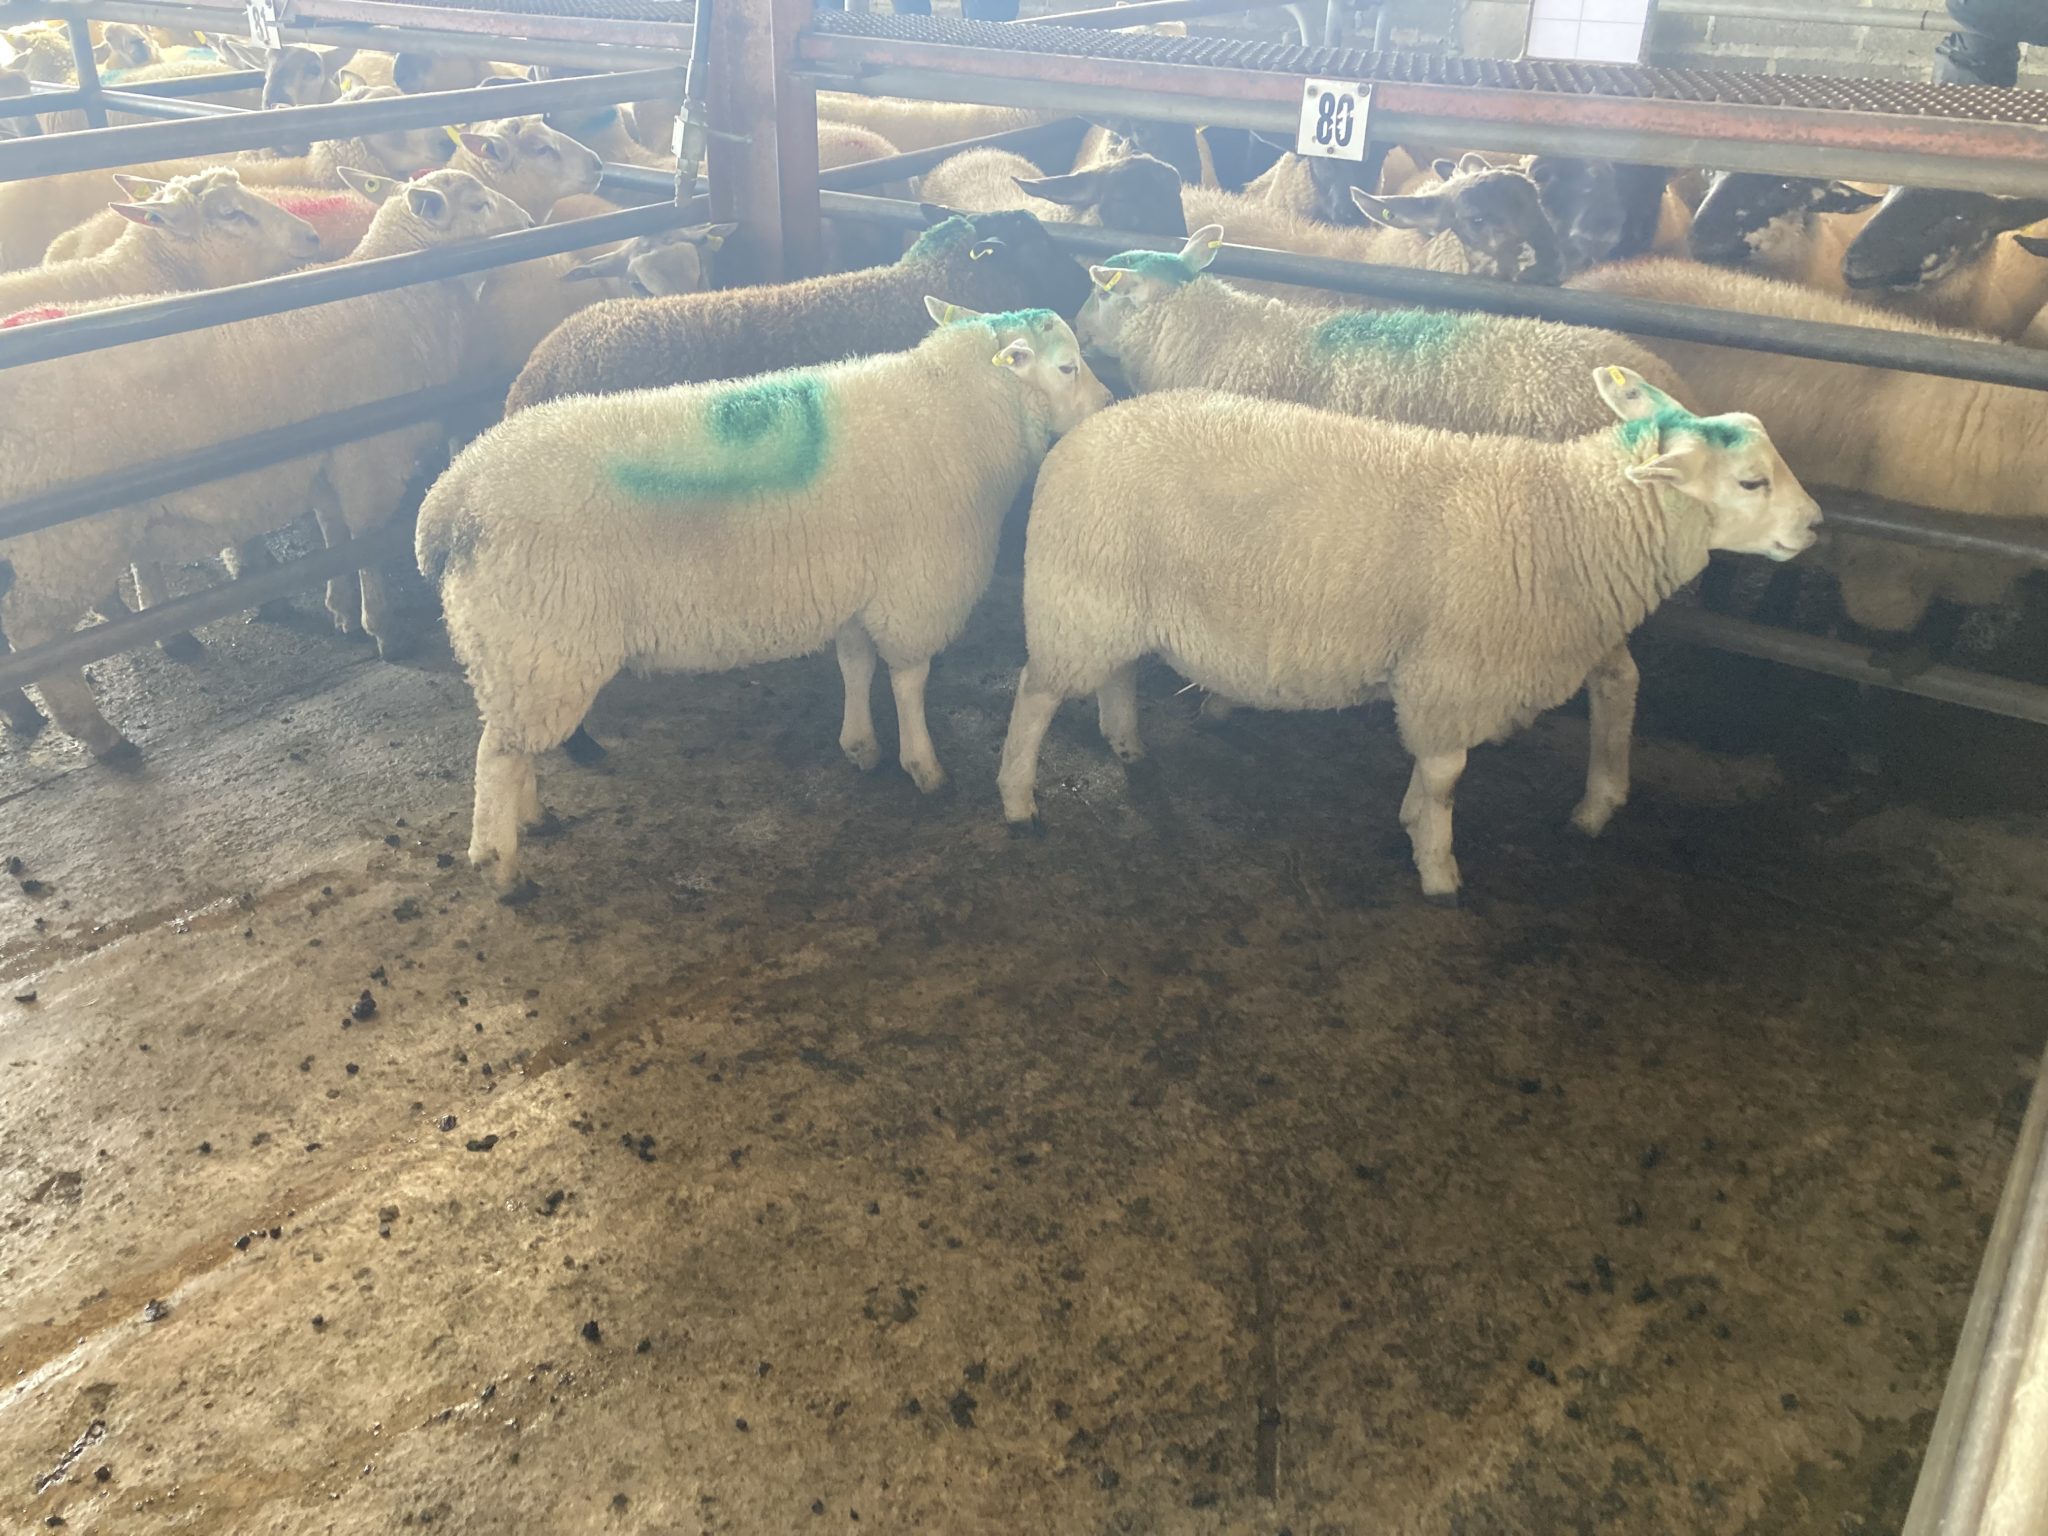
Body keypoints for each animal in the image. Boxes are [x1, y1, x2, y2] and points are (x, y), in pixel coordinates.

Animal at [0, 169, 532, 761]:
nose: (532, 222)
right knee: (35, 639)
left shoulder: (327, 463)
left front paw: (341, 610)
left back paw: (25, 712)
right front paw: (383, 629)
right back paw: (102, 737)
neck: (400, 298)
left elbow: (332, 537)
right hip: (62, 545)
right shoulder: (368, 460)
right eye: (479, 204)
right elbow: (365, 544)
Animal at [422, 302, 1112, 890]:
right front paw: (925, 769)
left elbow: (856, 664)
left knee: (510, 746)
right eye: (1067, 366)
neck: (958, 410)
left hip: (523, 654)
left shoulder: (855, 584)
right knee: (496, 755)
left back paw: (531, 818)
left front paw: (860, 746)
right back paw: (503, 867)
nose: (1110, 403)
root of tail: (453, 496)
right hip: (539, 639)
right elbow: (910, 681)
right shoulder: (912, 587)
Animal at [994, 372, 1820, 901]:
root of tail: (1084, 431)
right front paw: (1438, 870)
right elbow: (1448, 774)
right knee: (1036, 694)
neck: (1563, 516)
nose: (1816, 526)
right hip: (1079, 597)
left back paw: (1126, 741)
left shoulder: (1457, 671)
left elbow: (1441, 767)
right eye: (1751, 482)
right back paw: (1017, 798)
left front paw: (1416, 820)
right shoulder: (1451, 674)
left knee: (1118, 672)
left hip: (1113, 595)